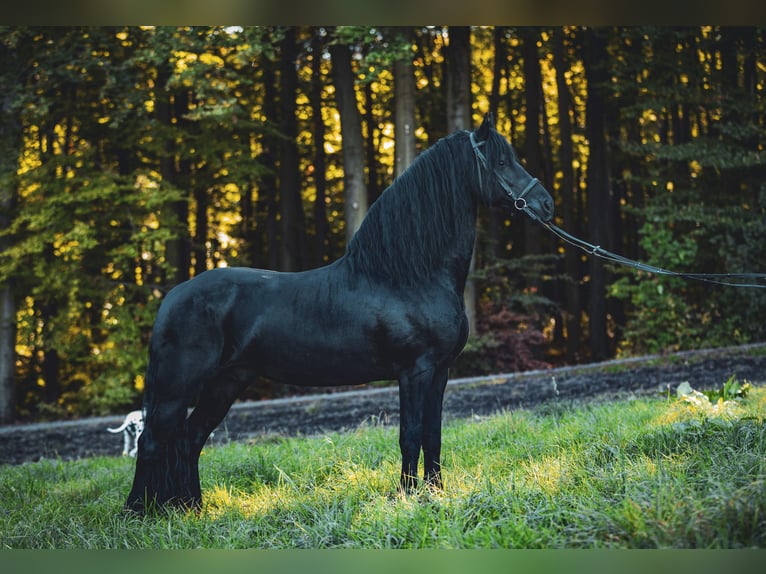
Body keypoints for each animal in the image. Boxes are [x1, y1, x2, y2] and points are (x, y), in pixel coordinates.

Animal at [129, 113, 556, 512]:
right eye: (501, 162)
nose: (546, 204)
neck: (406, 276)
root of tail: (172, 298)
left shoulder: (440, 372)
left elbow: (432, 435)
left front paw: (435, 494)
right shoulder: (414, 370)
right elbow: (410, 434)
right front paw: (407, 496)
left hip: (226, 383)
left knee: (191, 438)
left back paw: (192, 508)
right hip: (177, 386)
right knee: (152, 441)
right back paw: (138, 512)